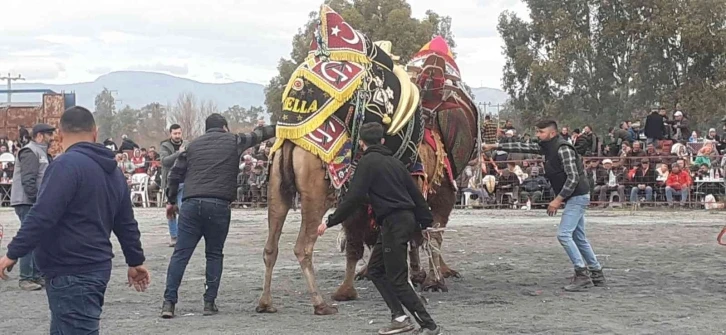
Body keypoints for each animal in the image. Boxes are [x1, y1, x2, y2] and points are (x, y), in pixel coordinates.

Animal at [258, 4, 426, 316]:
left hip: (277, 186)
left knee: (270, 246)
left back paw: (265, 303)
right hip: (317, 193)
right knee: (302, 246)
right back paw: (320, 303)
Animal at [334, 37, 484, 300]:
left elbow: (427, 234)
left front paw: (431, 280)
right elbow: (357, 240)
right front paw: (348, 287)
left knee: (428, 233)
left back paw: (436, 274)